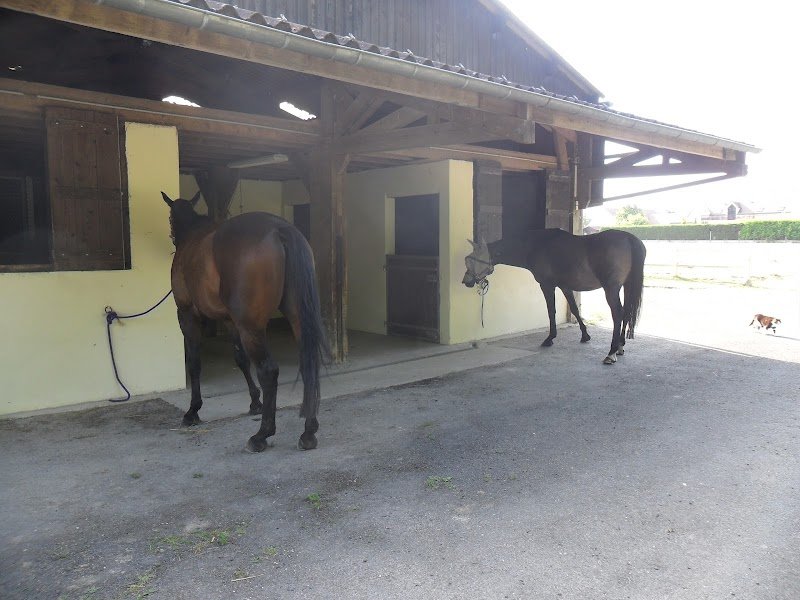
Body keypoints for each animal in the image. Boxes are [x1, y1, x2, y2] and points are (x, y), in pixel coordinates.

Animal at [161, 191, 328, 452]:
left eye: (170, 218)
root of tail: (279, 229)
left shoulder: (187, 315)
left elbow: (194, 362)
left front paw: (192, 410)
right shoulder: (231, 321)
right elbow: (240, 360)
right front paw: (254, 402)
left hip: (251, 327)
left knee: (268, 370)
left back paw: (261, 435)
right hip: (297, 318)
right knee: (308, 361)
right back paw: (308, 432)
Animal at [462, 229, 646, 365]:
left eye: (472, 260)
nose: (466, 281)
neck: (536, 246)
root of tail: (629, 238)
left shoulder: (547, 285)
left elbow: (551, 311)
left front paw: (550, 338)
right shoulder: (565, 287)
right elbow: (574, 309)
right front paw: (585, 336)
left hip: (611, 289)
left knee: (618, 314)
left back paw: (611, 352)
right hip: (626, 286)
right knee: (626, 312)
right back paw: (620, 347)